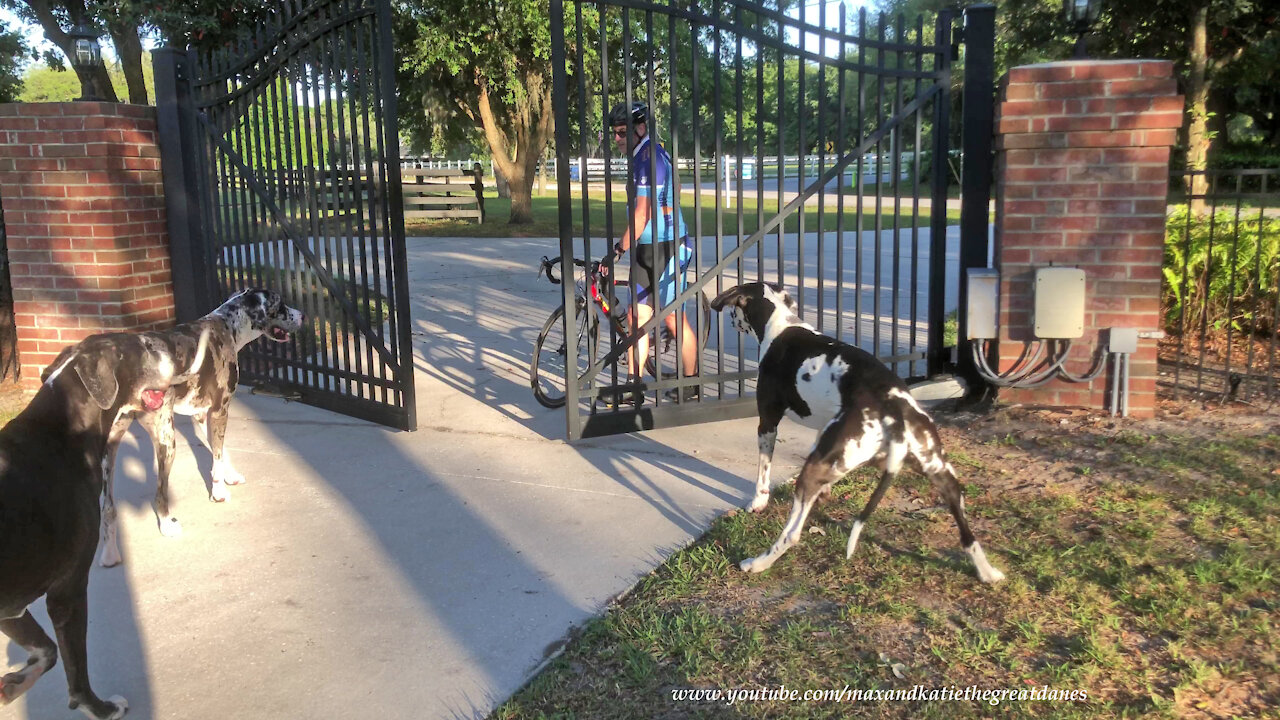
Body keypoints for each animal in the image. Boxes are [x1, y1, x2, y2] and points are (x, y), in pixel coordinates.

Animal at [1, 327, 204, 712]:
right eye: (146, 346)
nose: (181, 345)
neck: (64, 426)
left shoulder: (12, 605)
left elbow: (46, 651)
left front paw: (13, 684)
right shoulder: (67, 590)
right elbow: (73, 669)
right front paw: (102, 709)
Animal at [86, 286, 303, 566]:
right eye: (281, 304)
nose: (303, 316)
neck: (228, 324)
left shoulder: (200, 415)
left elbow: (220, 452)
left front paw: (230, 476)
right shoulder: (221, 409)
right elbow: (218, 455)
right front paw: (219, 493)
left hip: (109, 453)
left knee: (108, 507)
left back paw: (110, 553)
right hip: (166, 441)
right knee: (159, 494)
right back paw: (167, 525)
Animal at [716, 281, 1003, 584]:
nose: (731, 320)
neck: (781, 324)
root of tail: (895, 412)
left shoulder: (767, 423)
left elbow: (763, 471)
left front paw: (758, 501)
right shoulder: (824, 428)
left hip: (809, 473)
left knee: (792, 534)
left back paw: (757, 563)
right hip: (943, 475)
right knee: (966, 532)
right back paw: (987, 572)